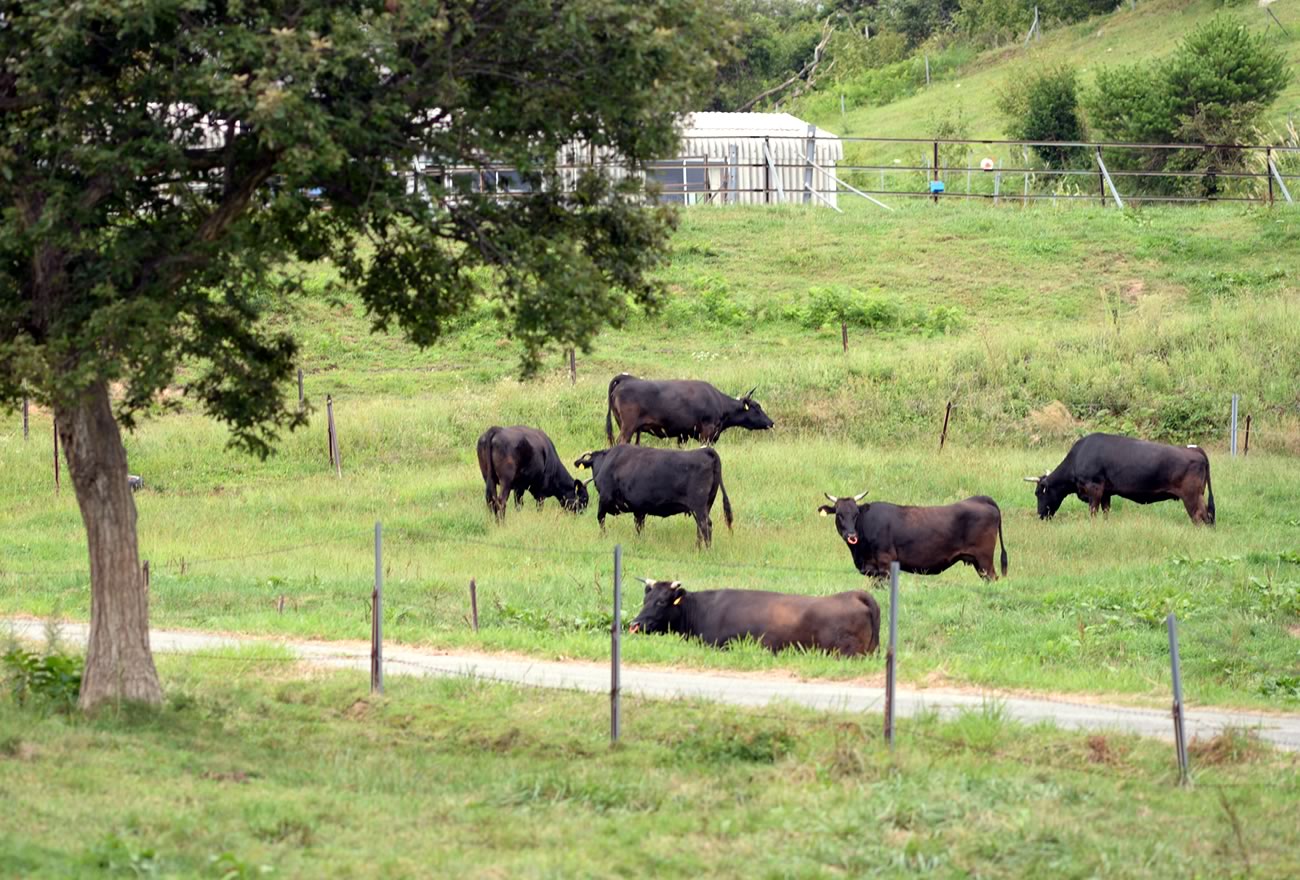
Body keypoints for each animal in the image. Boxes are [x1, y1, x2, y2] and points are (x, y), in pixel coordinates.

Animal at [577, 441, 733, 545]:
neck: (606, 462)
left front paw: (603, 537)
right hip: (706, 505)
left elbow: (600, 518)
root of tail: (705, 451)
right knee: (700, 528)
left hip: (698, 506)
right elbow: (639, 526)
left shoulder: (604, 498)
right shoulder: (639, 508)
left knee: (705, 526)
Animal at [605, 371, 774, 447]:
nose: (771, 422)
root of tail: (627, 378)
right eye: (757, 407)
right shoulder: (707, 432)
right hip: (628, 427)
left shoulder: (683, 434)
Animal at [816, 491, 1008, 579]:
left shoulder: (885, 564)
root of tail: (980, 498)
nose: (851, 535)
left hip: (984, 560)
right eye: (839, 514)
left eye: (856, 514)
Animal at [1024, 431, 1216, 522]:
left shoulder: (1094, 488)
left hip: (1191, 496)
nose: (1040, 515)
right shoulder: (1106, 493)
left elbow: (1093, 512)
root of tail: (1194, 449)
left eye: (1038, 493)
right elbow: (1105, 512)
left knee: (1202, 516)